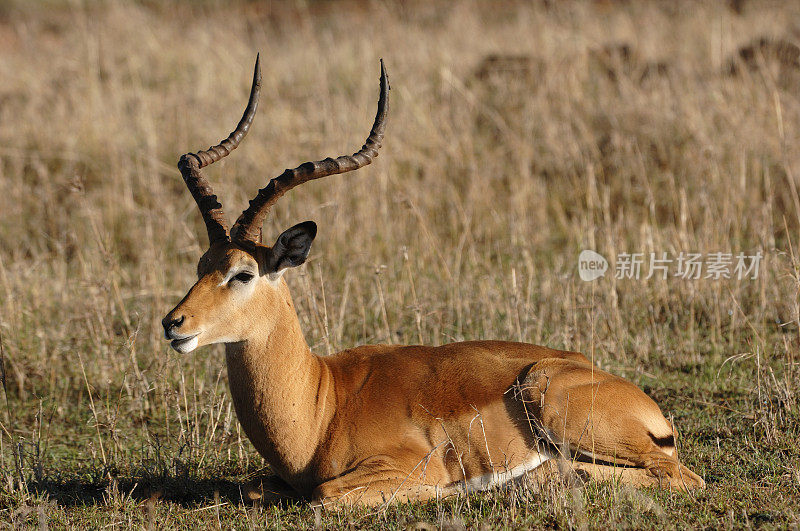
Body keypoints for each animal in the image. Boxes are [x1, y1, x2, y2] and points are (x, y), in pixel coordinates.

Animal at [164, 57, 708, 508]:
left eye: (243, 273)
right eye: (201, 264)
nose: (174, 323)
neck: (322, 404)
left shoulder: (395, 469)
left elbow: (326, 494)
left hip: (558, 408)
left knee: (677, 476)